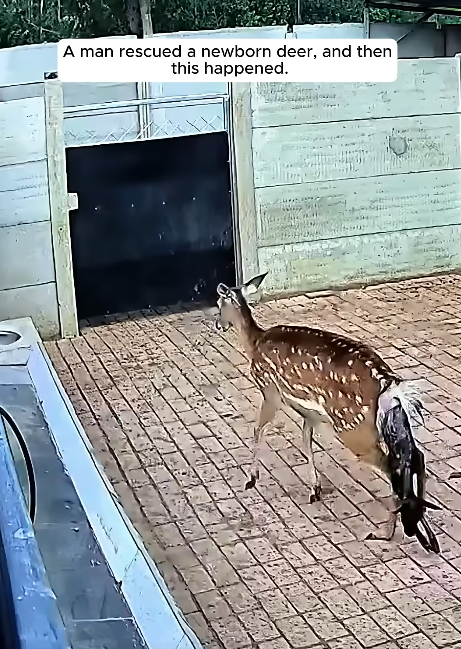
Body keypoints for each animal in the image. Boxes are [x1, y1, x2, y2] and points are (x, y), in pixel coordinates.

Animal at [215, 272, 441, 554]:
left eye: (219, 303)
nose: (217, 324)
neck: (254, 343)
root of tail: (390, 385)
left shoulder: (270, 391)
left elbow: (258, 429)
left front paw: (251, 479)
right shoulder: (309, 411)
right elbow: (306, 440)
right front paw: (315, 489)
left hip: (353, 427)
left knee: (393, 466)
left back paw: (386, 533)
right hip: (391, 423)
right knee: (416, 455)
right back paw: (428, 537)